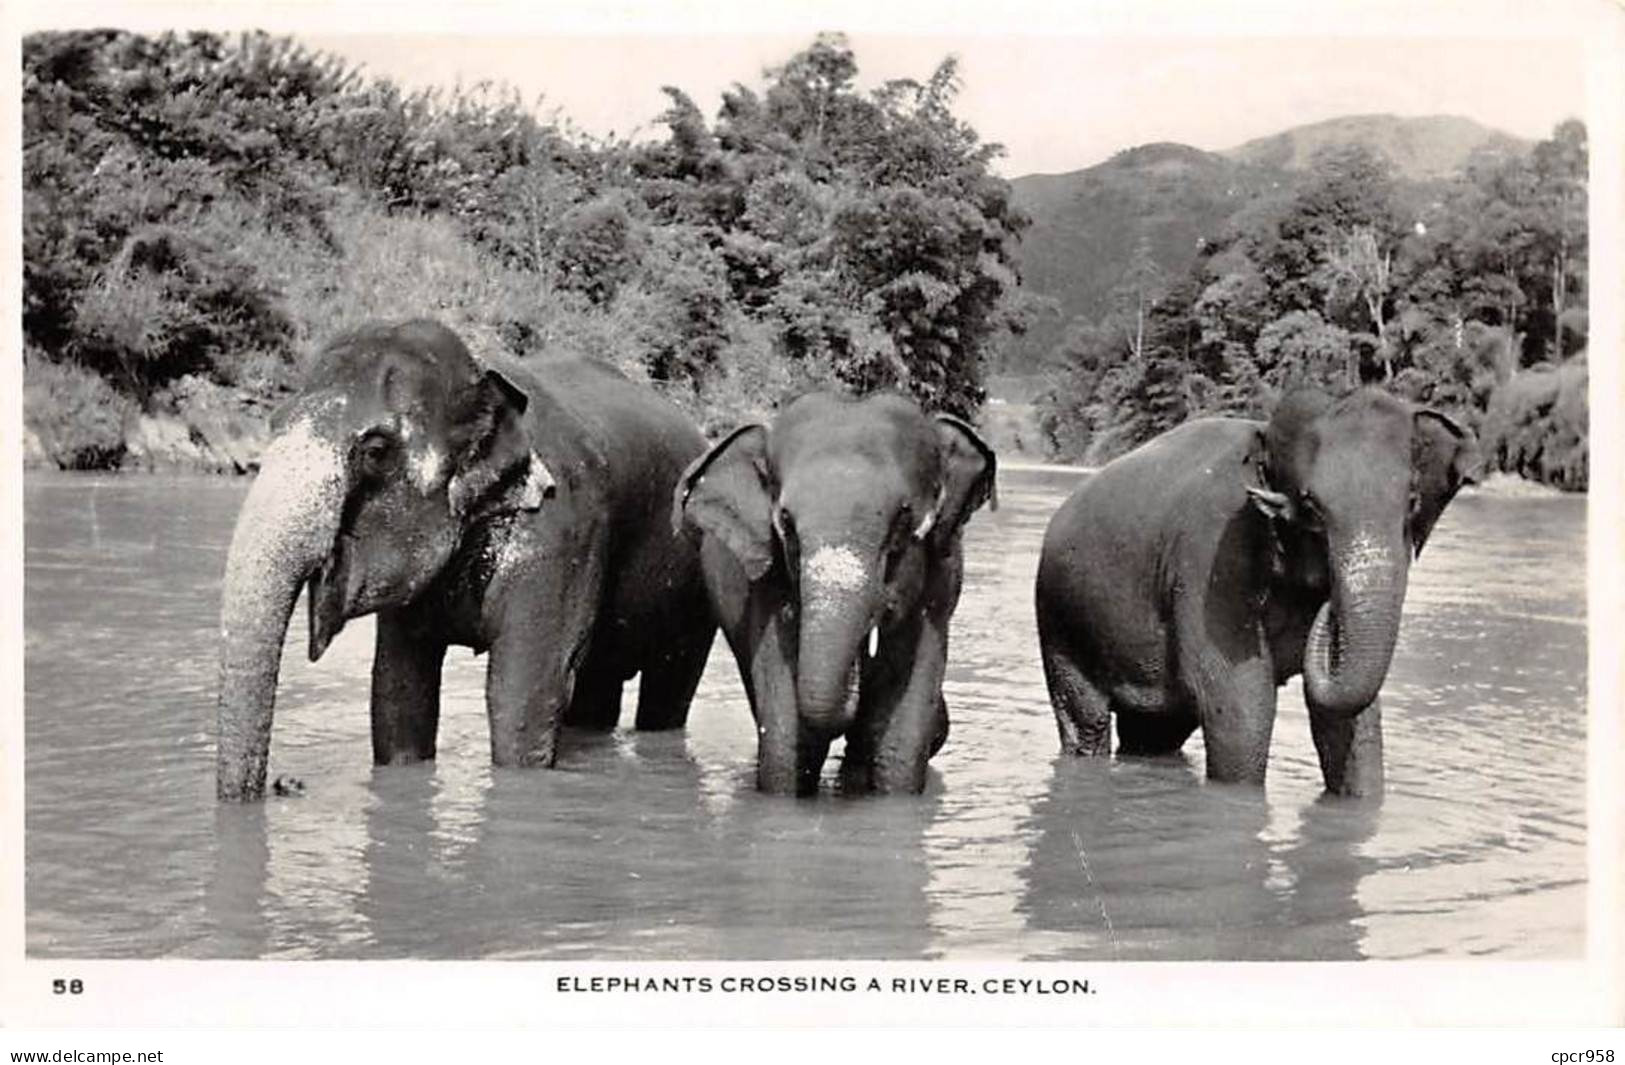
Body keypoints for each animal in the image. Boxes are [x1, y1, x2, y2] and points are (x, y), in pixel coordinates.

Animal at [217, 320, 718, 803]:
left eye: (375, 451)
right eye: (273, 423)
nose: (283, 785)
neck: (477, 372)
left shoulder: (562, 530)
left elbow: (523, 691)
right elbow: (398, 692)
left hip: (696, 594)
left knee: (666, 689)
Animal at [669, 395, 988, 796]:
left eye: (903, 518)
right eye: (785, 522)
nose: (856, 678)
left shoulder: (941, 579)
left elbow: (901, 727)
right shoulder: (767, 575)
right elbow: (788, 731)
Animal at [1033, 386, 1482, 796]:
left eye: (1412, 503)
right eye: (1312, 507)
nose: (1328, 609)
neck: (1267, 439)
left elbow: (1351, 720)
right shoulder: (1212, 552)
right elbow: (1241, 702)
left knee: (1156, 730)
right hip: (1062, 621)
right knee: (1087, 722)